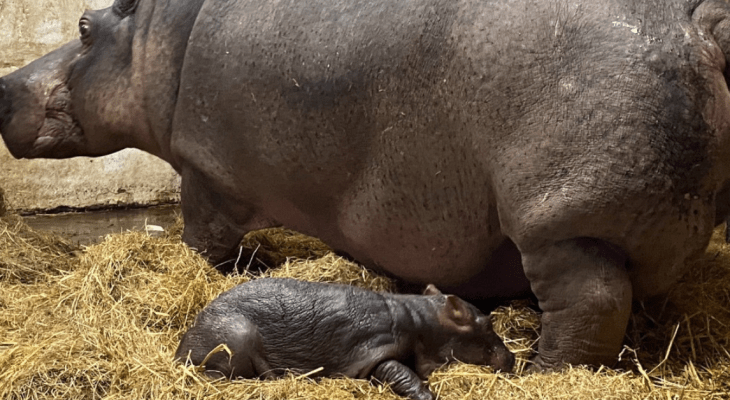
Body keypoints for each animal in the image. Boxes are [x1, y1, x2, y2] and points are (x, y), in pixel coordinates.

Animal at [3, 0, 730, 369]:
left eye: (84, 27)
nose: (6, 81)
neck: (155, 33)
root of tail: (697, 25)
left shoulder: (203, 168)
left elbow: (205, 238)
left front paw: (218, 267)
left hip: (567, 221)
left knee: (590, 304)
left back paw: (544, 369)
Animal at [175, 278, 514, 400]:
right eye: (487, 322)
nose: (512, 357)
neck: (423, 321)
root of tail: (181, 345)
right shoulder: (374, 351)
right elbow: (400, 372)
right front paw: (427, 395)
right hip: (234, 335)